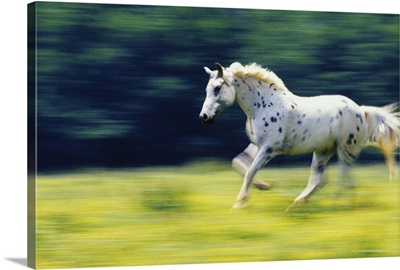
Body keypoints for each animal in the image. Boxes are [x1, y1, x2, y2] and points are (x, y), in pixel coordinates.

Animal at [198, 61, 398, 211]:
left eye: (218, 87)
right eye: (207, 89)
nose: (204, 117)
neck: (263, 106)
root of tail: (361, 111)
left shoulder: (269, 149)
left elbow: (250, 171)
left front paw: (239, 204)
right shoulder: (258, 145)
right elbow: (240, 165)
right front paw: (263, 186)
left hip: (346, 151)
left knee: (344, 180)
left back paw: (336, 206)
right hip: (323, 152)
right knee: (319, 180)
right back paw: (297, 205)